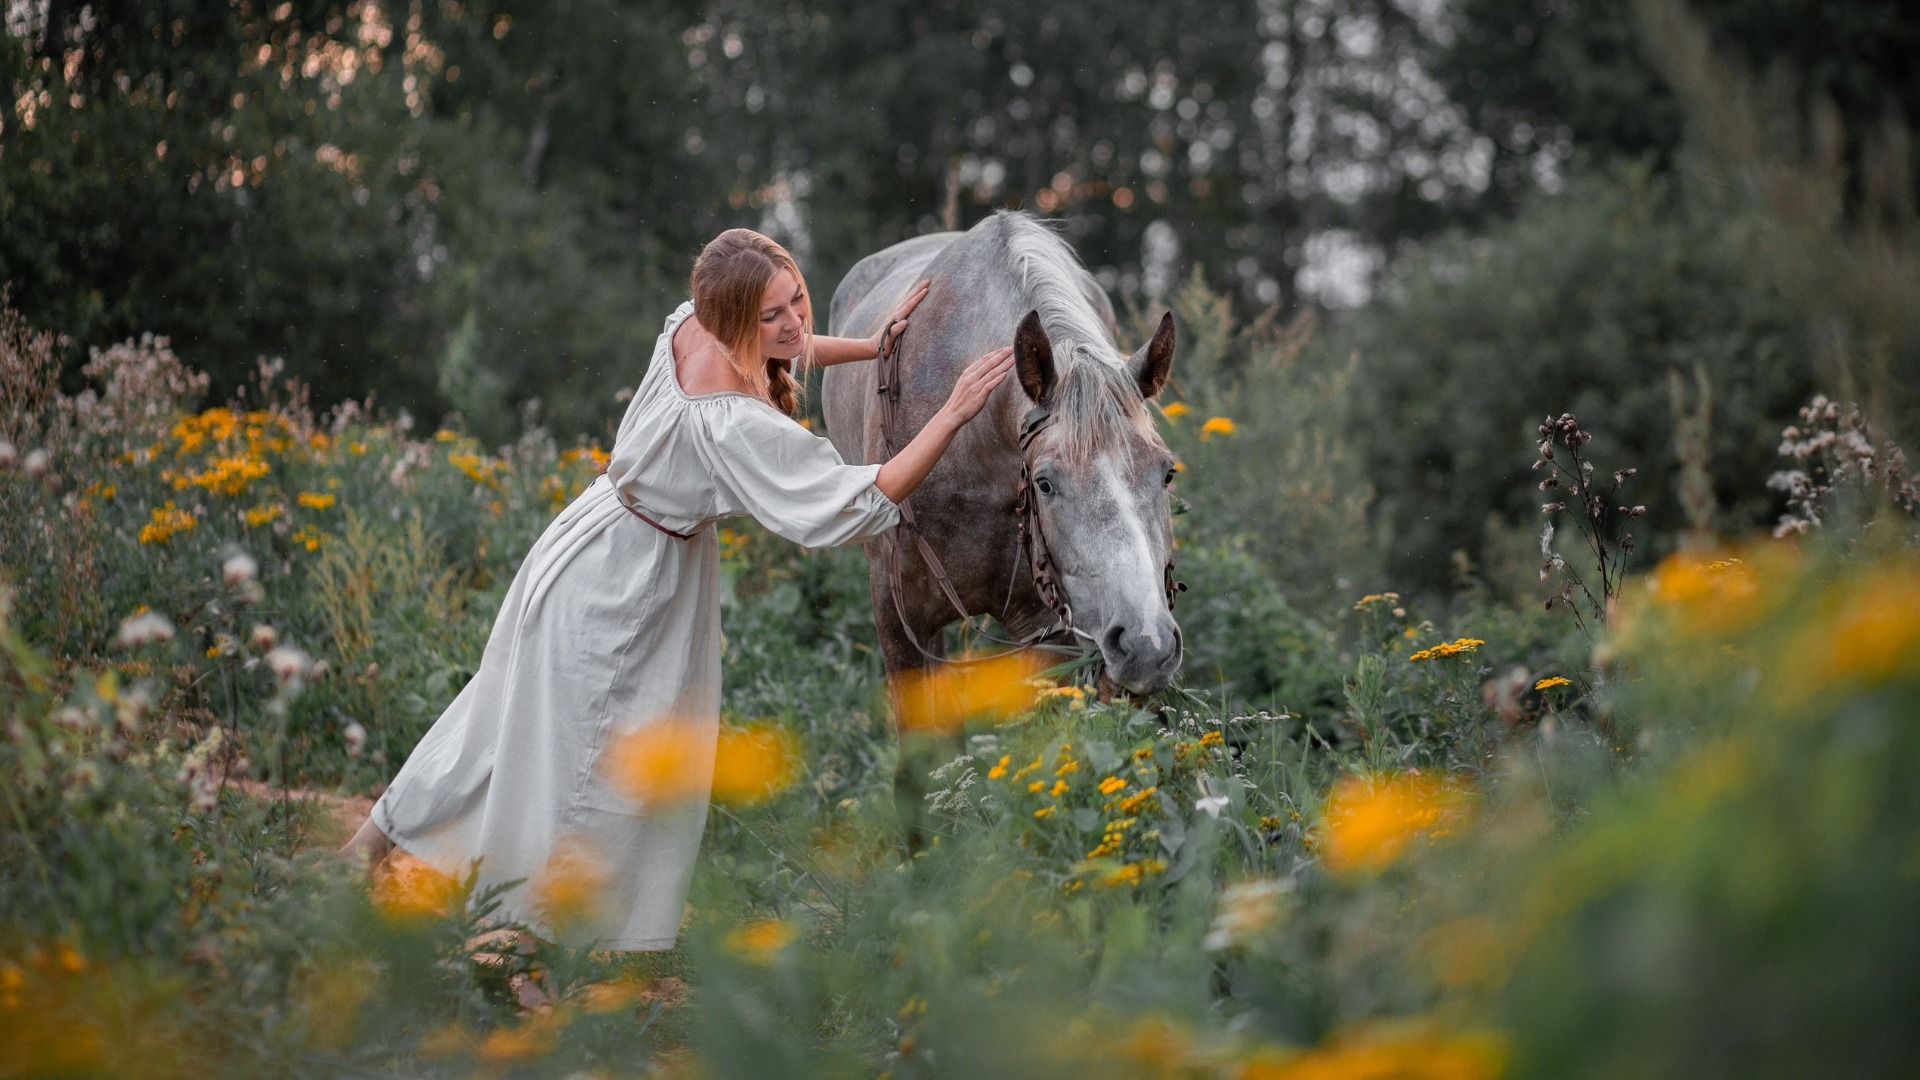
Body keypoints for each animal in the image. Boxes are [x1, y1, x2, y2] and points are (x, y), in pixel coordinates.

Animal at [817, 210, 1175, 803]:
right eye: (1046, 483)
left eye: (1167, 473)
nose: (1147, 644)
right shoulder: (900, 620)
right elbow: (916, 771)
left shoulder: (1045, 630)